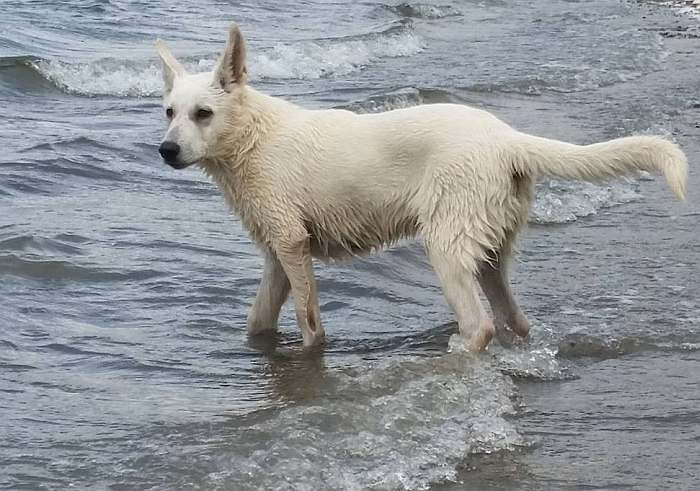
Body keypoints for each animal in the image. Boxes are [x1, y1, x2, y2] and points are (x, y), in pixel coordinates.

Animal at [156, 25, 688, 352]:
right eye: (168, 112)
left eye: (204, 113)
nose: (165, 150)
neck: (253, 137)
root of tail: (506, 138)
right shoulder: (278, 254)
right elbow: (259, 319)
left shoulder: (291, 244)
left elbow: (310, 323)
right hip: (490, 249)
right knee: (515, 319)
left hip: (446, 244)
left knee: (481, 325)